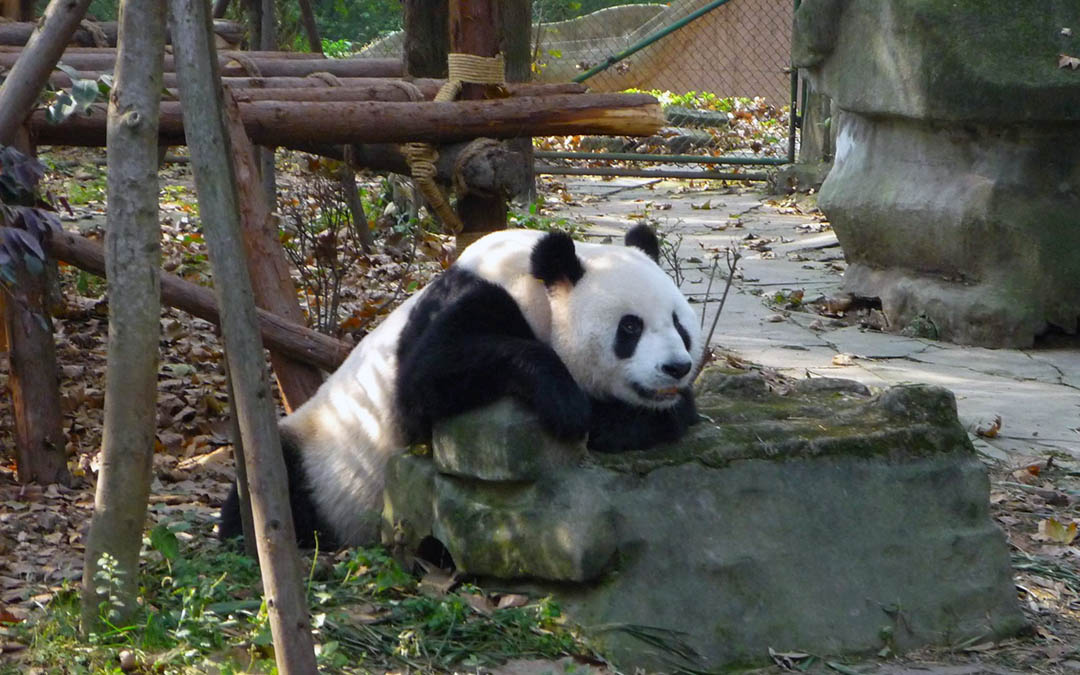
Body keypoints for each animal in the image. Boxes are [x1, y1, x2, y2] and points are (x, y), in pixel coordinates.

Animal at [223, 223, 704, 550]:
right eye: (630, 328)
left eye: (680, 324)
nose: (676, 367)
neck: (532, 284)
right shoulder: (469, 302)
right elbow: (428, 378)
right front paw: (568, 403)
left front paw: (636, 417)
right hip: (317, 454)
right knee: (272, 480)